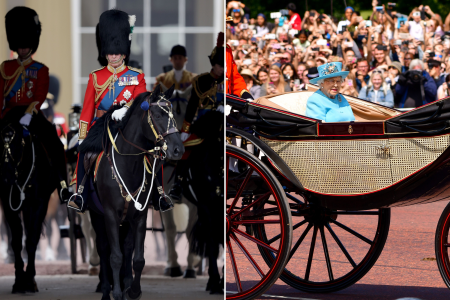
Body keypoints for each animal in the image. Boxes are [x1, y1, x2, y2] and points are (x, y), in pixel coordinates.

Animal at [0, 107, 66, 292]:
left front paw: (29, 280)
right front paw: (18, 280)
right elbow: (16, 240)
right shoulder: (8, 205)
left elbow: (32, 238)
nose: (6, 179)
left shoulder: (40, 202)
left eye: (17, 144)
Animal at [81, 86, 185, 300]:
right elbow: (115, 256)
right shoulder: (110, 214)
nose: (178, 149)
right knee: (103, 248)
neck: (129, 164)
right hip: (97, 214)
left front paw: (133, 290)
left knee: (127, 248)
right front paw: (117, 292)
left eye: (173, 114)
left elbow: (137, 258)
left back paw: (126, 283)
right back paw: (106, 289)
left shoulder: (139, 216)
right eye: (157, 115)